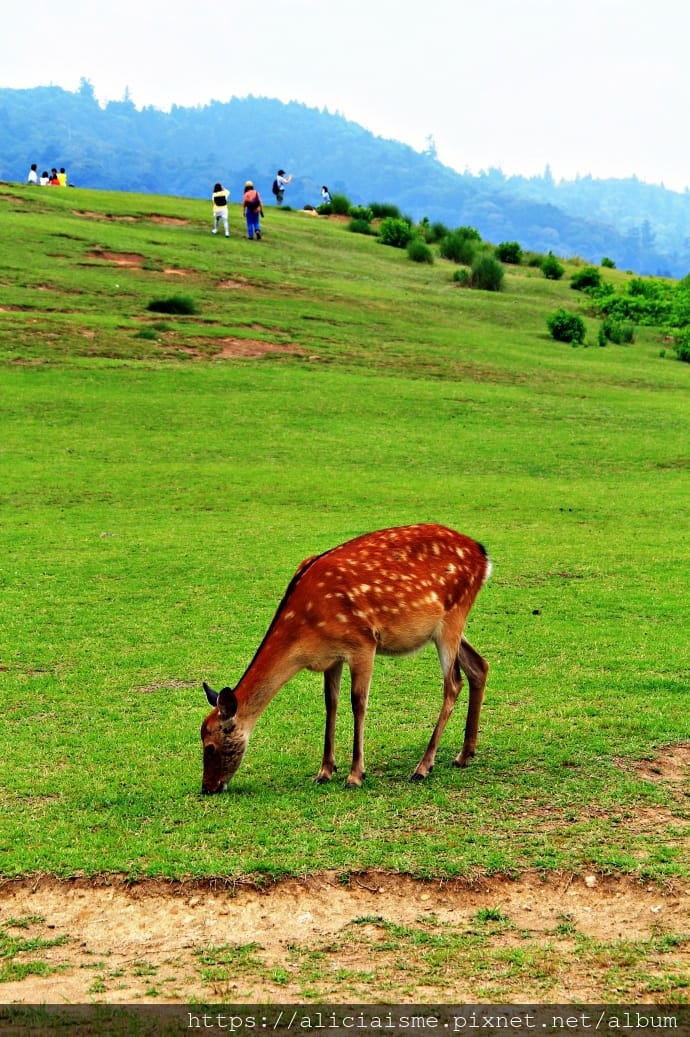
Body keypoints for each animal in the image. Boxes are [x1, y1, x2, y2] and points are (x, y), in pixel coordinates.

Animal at [200, 523, 491, 793]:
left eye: (210, 746)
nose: (207, 787)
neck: (306, 634)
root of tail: (483, 556)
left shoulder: (363, 643)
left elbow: (358, 704)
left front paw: (355, 775)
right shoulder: (332, 657)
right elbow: (331, 704)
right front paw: (325, 771)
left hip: (452, 617)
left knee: (453, 684)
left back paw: (423, 767)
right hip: (446, 627)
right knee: (479, 665)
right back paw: (464, 755)